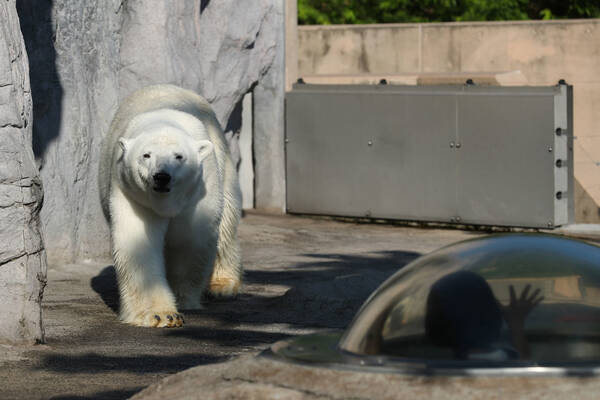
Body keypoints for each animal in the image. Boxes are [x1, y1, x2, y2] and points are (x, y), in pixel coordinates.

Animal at [98, 84, 241, 328]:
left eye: (179, 156)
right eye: (146, 155)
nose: (161, 177)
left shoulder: (199, 189)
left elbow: (190, 238)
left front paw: (183, 299)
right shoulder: (131, 193)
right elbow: (139, 242)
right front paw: (161, 315)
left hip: (222, 155)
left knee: (227, 219)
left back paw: (223, 285)